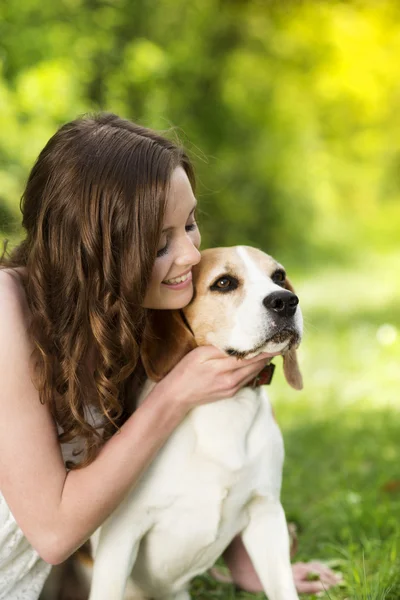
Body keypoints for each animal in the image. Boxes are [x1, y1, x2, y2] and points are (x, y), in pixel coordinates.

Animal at [87, 245, 304, 600]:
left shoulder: (266, 514)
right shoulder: (121, 530)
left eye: (279, 276)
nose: (285, 300)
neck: (225, 409)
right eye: (224, 282)